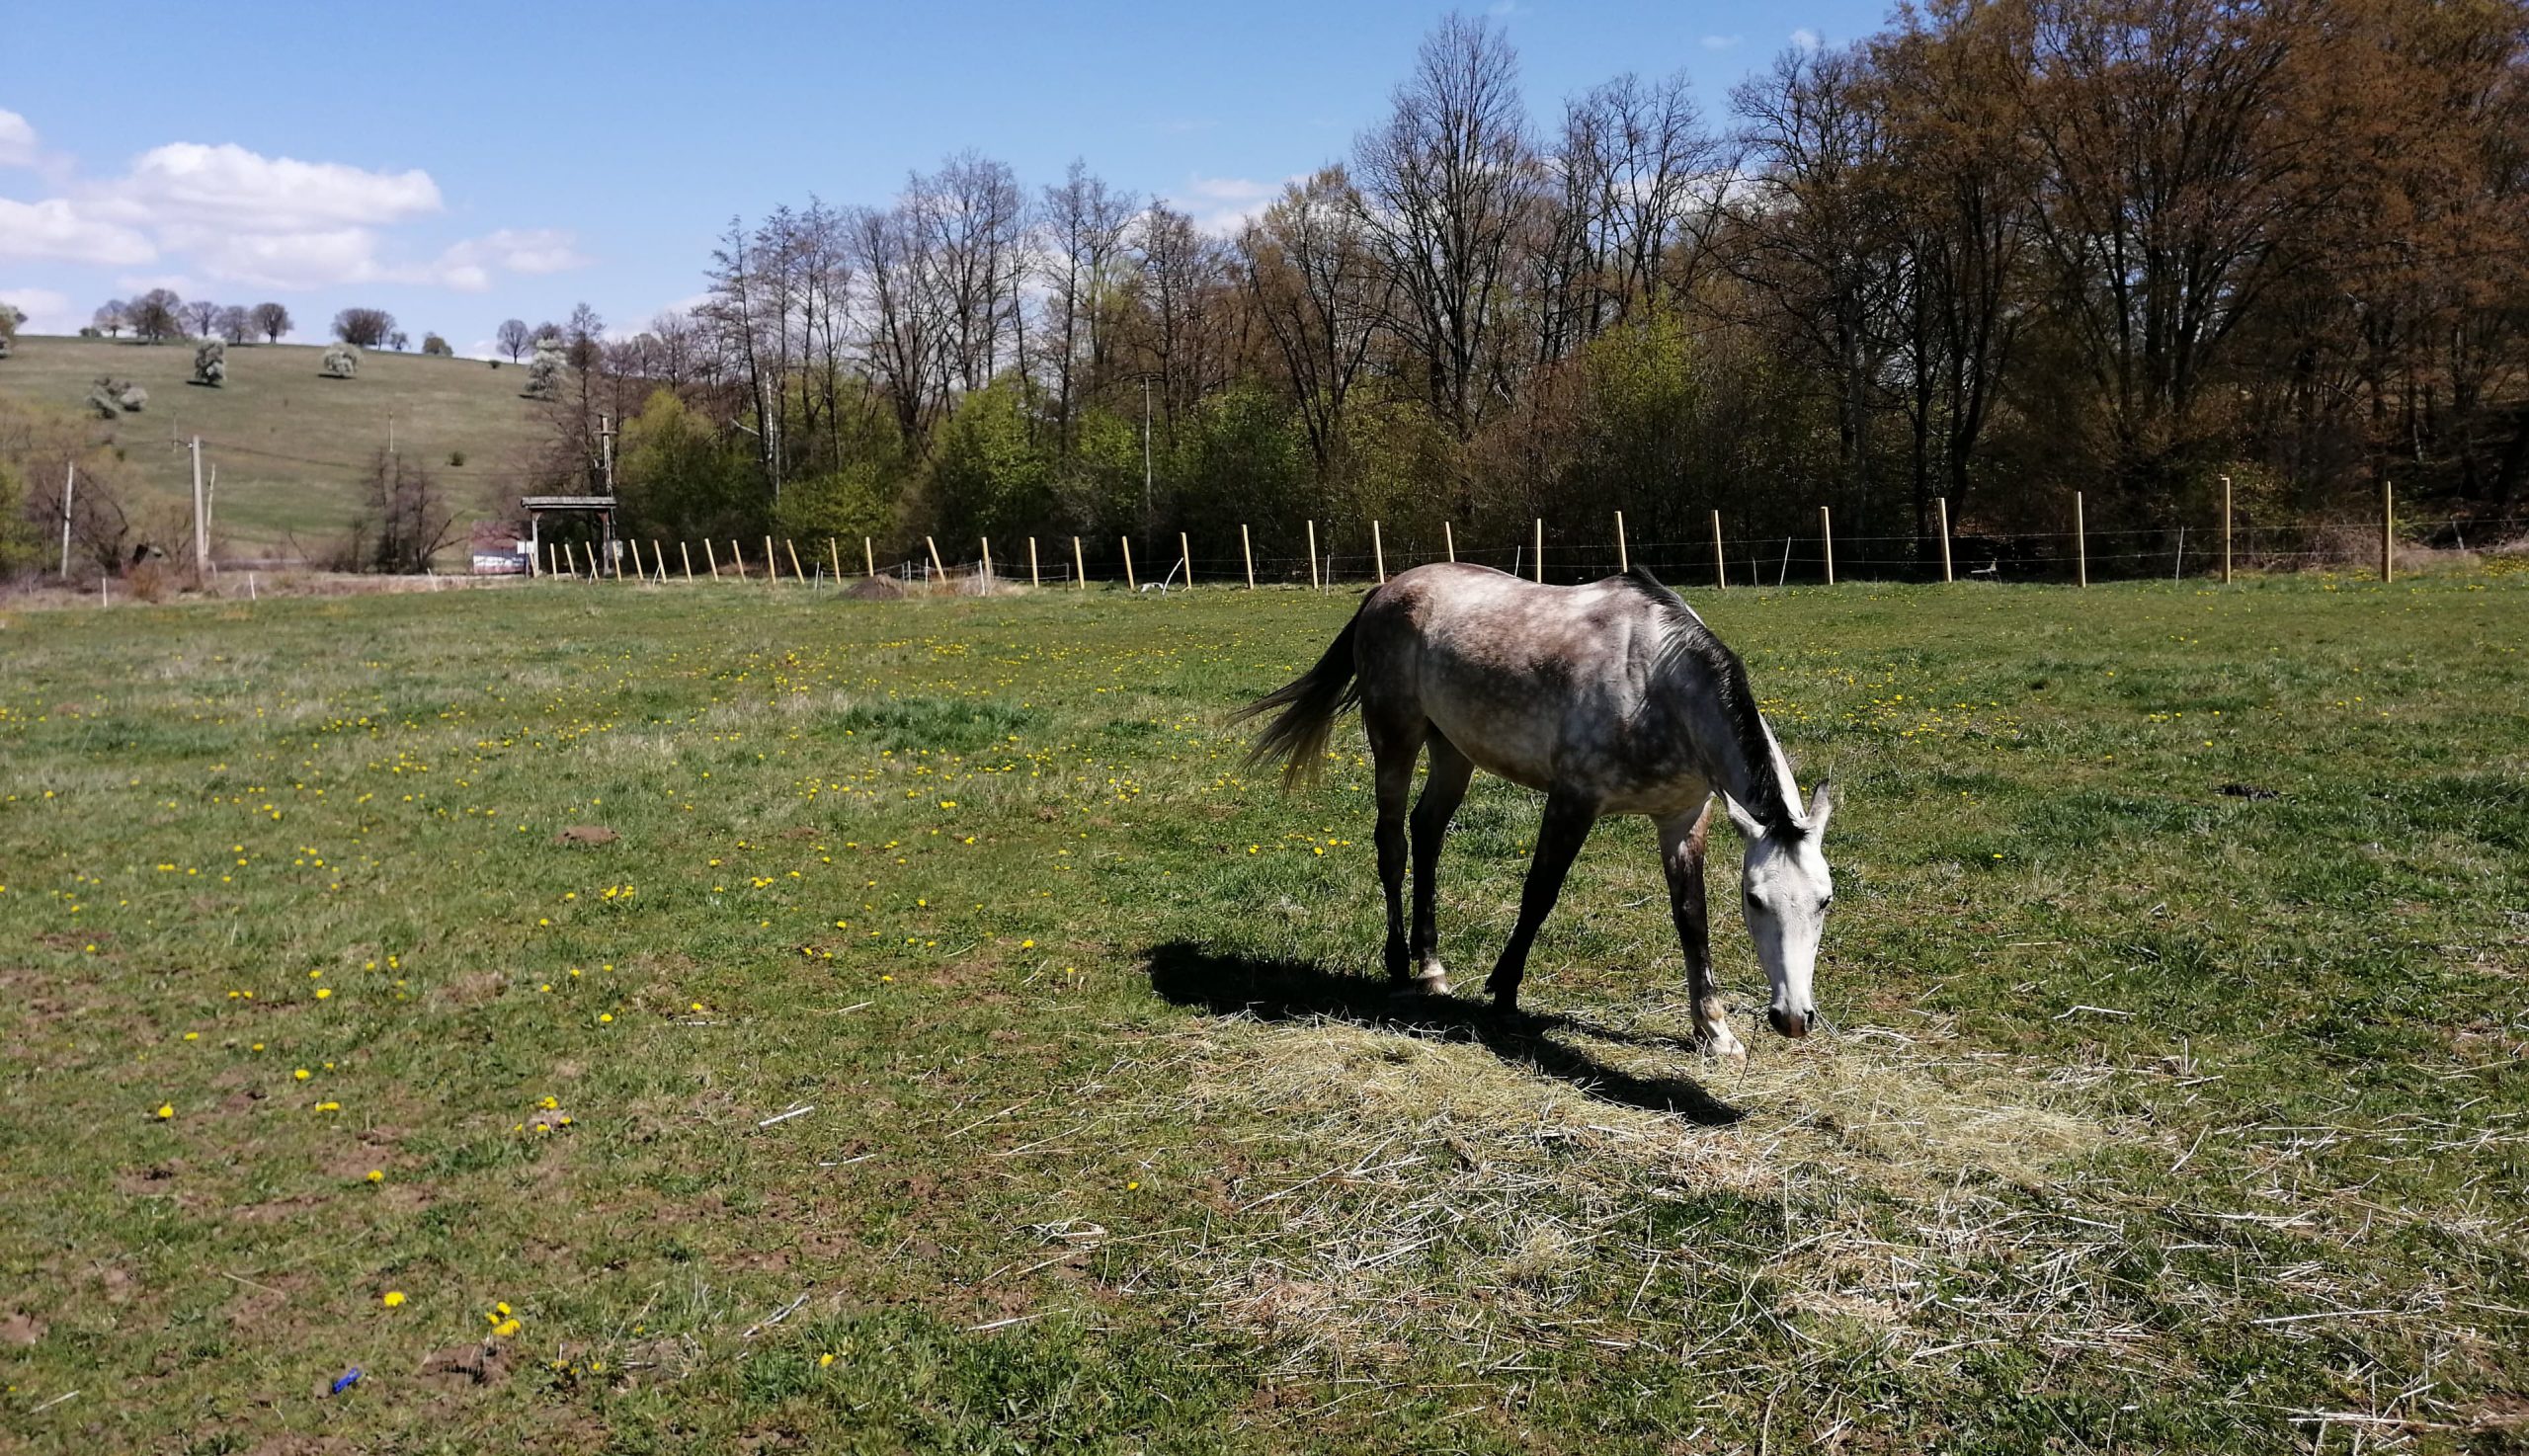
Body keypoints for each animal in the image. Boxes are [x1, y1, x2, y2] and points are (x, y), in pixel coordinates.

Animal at [1229, 563, 1840, 1051]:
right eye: (1756, 900)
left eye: (1825, 901)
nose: (1792, 1018)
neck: (1656, 682)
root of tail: (1386, 589)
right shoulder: (1574, 800)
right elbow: (1539, 894)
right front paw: (1503, 994)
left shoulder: (1684, 819)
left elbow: (1691, 917)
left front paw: (1714, 1029)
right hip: (1394, 738)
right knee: (1393, 843)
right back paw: (1400, 967)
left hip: (1452, 749)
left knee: (1428, 833)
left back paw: (1432, 967)